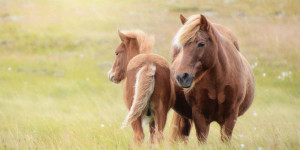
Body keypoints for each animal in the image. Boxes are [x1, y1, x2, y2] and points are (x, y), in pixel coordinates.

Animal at [170, 14, 254, 142]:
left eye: (201, 44)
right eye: (182, 46)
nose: (181, 76)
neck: (218, 81)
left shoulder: (230, 116)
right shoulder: (200, 116)